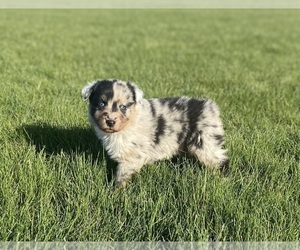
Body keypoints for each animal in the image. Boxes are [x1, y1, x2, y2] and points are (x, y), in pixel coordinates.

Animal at [81, 79, 229, 187]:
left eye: (123, 107)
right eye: (101, 104)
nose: (110, 121)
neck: (130, 122)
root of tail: (210, 106)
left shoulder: (131, 157)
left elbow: (122, 176)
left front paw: (115, 191)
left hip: (205, 141)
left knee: (221, 160)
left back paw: (223, 180)